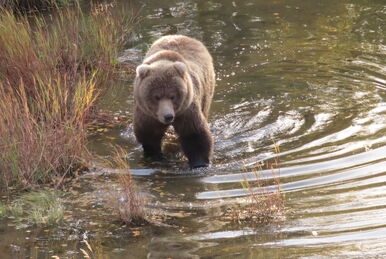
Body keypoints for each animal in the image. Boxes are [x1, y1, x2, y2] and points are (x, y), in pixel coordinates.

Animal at [133, 35, 216, 169]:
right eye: (156, 97)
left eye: (172, 96)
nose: (168, 116)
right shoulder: (147, 114)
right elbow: (148, 134)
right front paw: (154, 156)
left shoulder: (187, 109)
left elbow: (194, 134)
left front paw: (199, 163)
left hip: (206, 90)